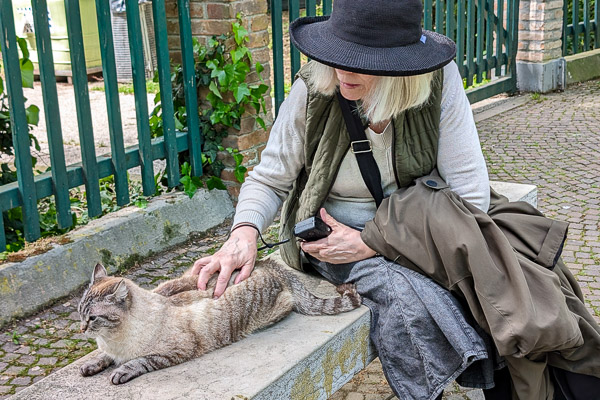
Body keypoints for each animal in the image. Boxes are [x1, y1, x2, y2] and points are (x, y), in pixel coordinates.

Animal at [79, 260, 360, 384]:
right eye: (80, 313)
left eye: (93, 317)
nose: (82, 329)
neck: (113, 338)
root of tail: (268, 263)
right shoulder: (110, 349)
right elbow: (103, 356)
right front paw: (91, 364)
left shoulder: (176, 351)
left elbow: (138, 361)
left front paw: (120, 371)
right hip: (186, 277)